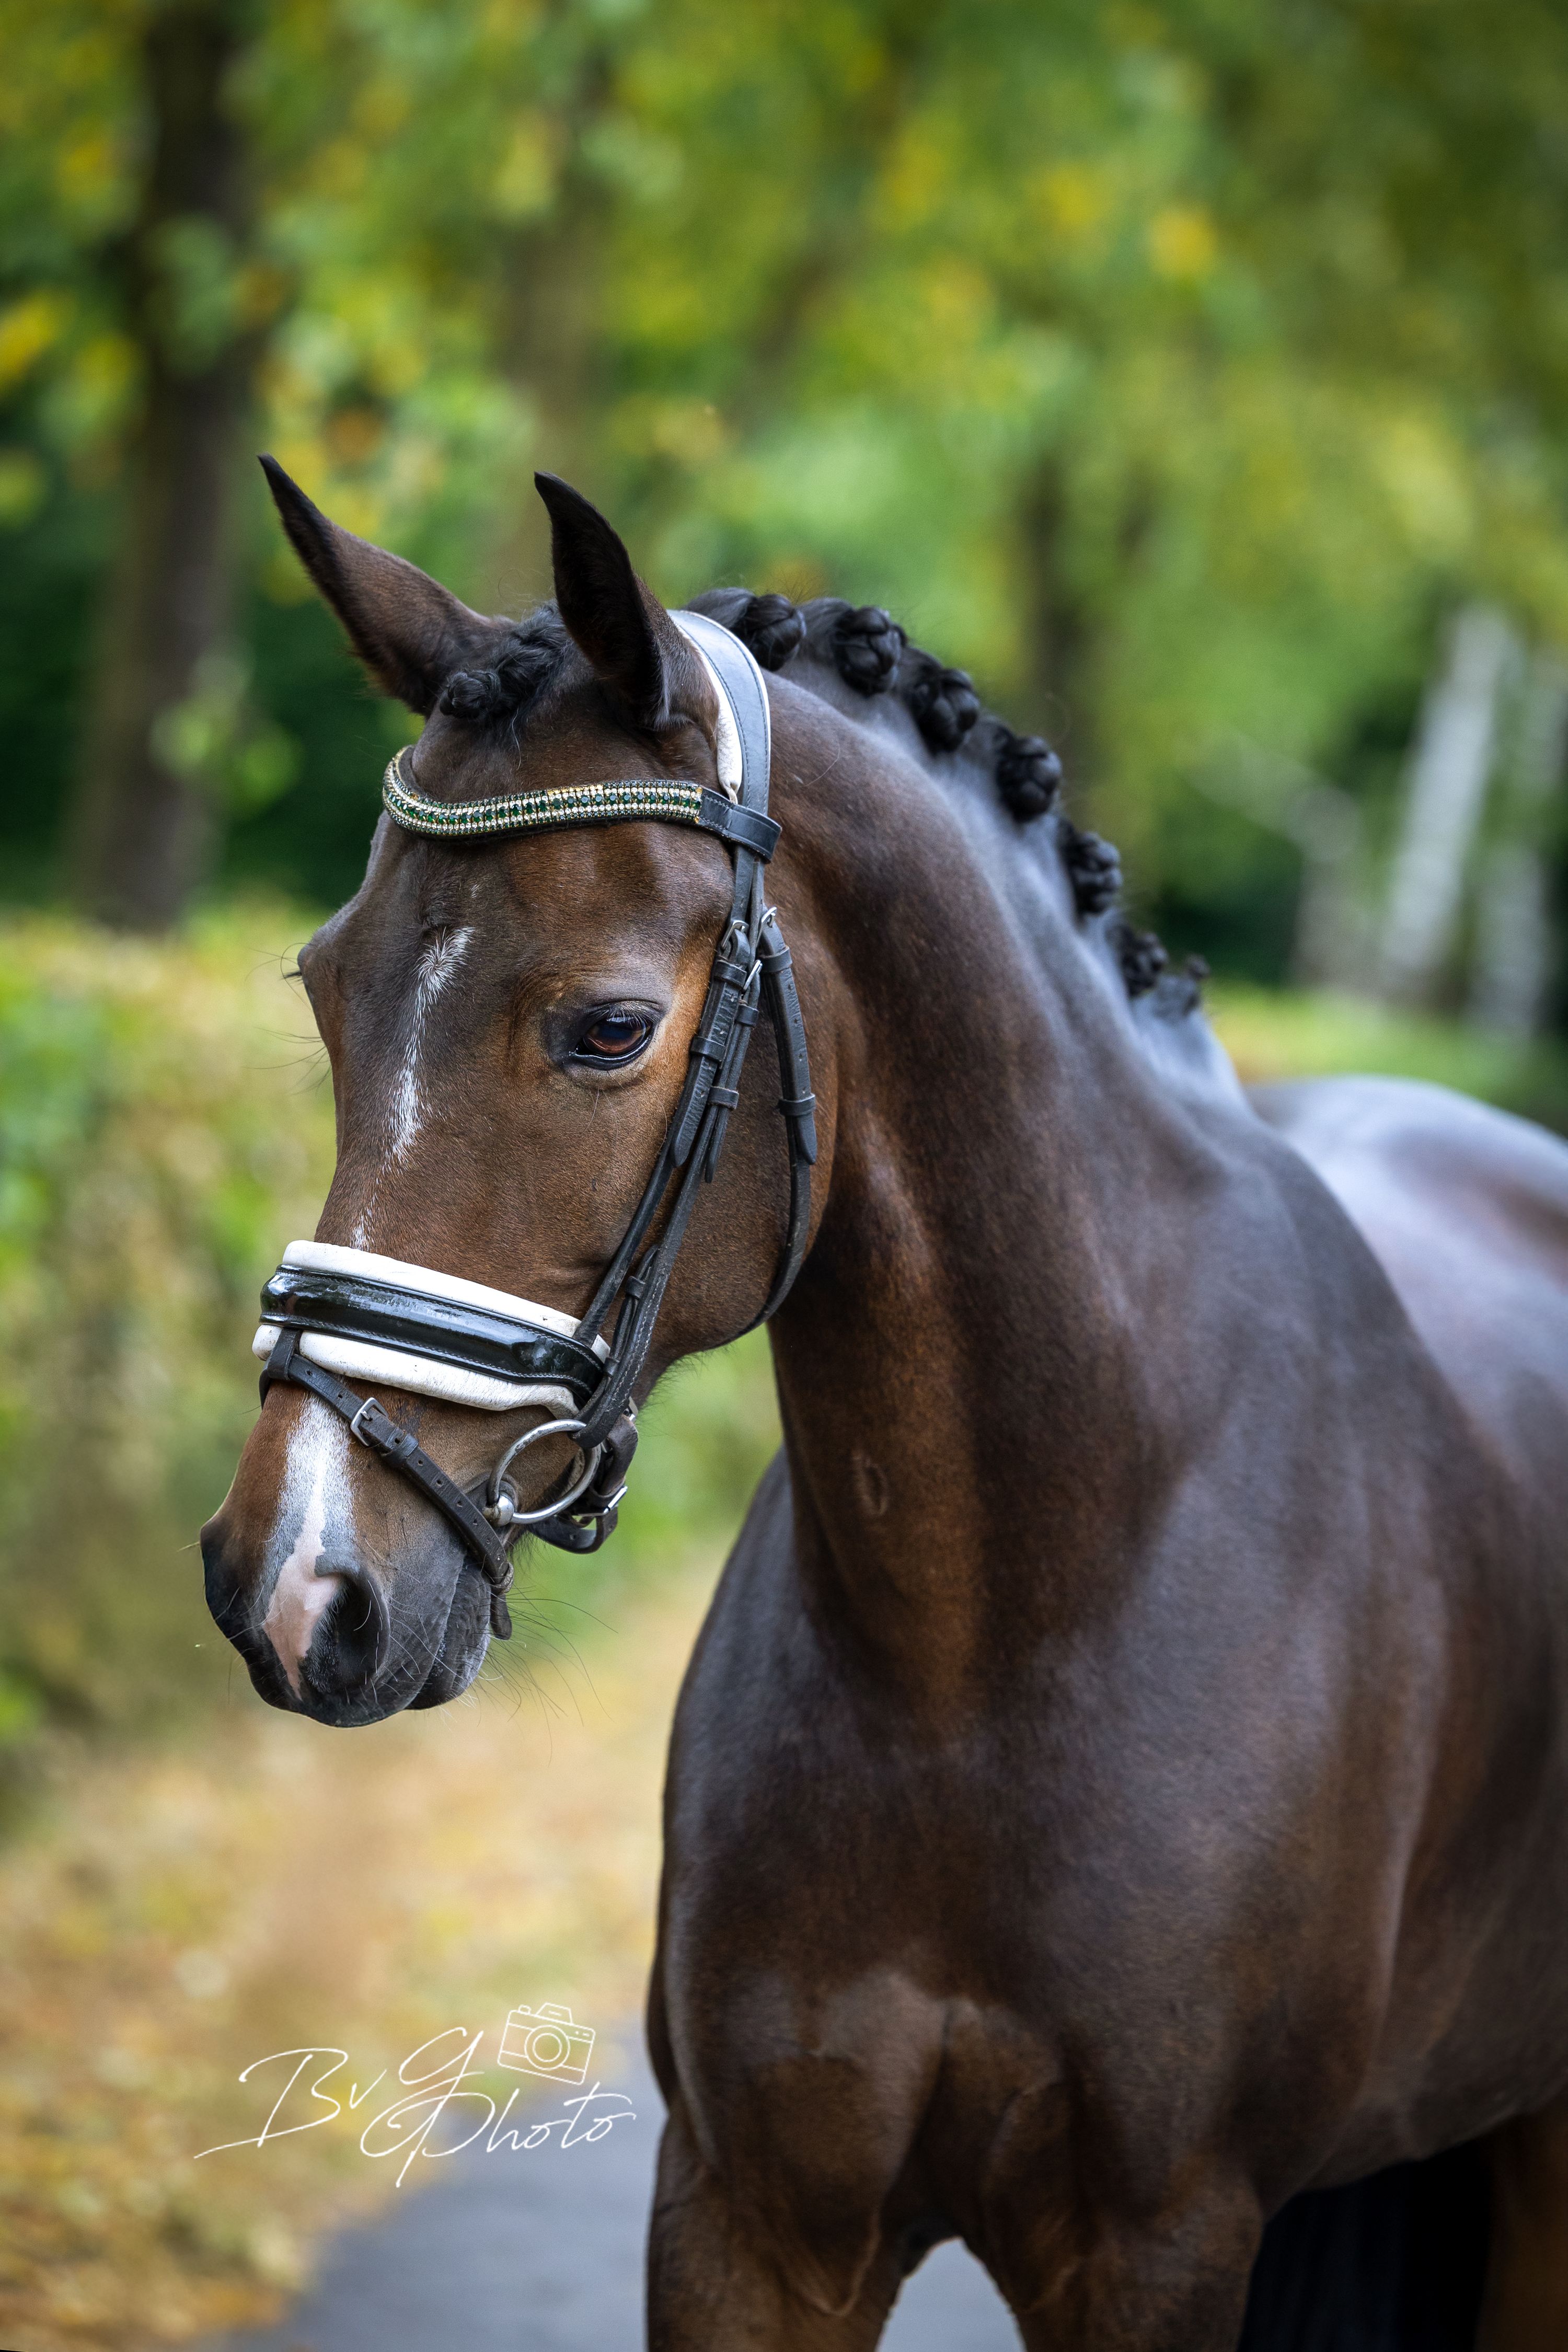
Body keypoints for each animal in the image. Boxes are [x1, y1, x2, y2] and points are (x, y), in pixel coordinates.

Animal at [201, 461, 1568, 2350]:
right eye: (327, 986)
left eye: (609, 1027)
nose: (295, 1581)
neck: (996, 1640)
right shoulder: (751, 2217)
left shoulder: (1159, 2247)